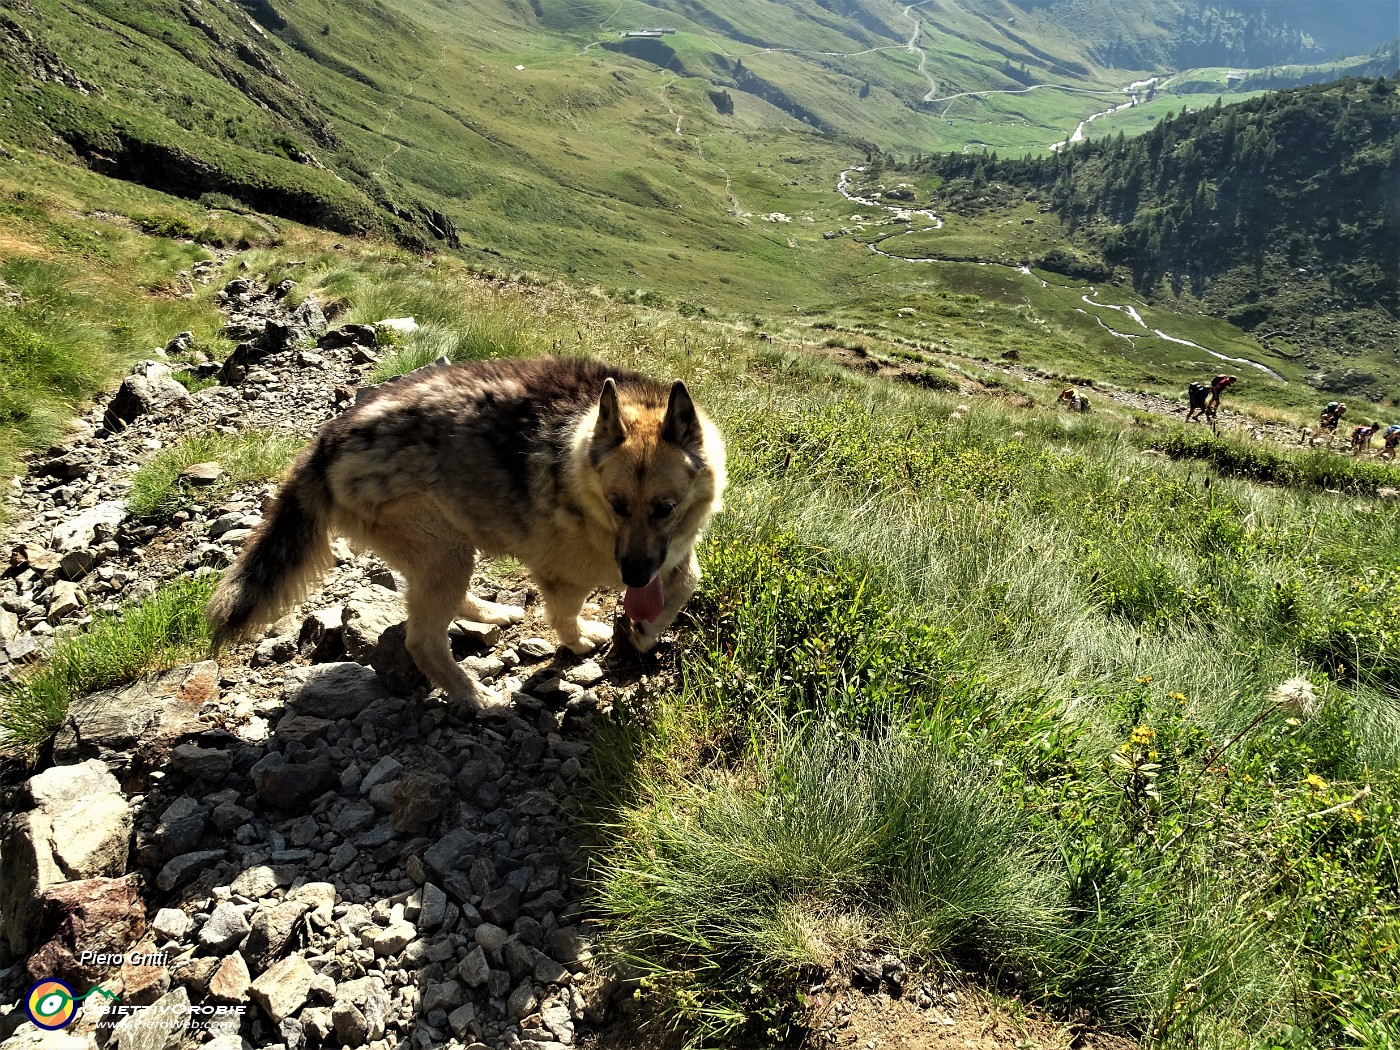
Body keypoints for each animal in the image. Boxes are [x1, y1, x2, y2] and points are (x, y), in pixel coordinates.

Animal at [211, 361, 733, 716]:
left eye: (665, 508)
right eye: (617, 504)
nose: (635, 574)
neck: (580, 451)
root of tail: (326, 443)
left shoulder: (668, 552)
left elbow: (687, 579)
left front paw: (644, 631)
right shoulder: (567, 571)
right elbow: (566, 615)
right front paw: (586, 640)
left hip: (447, 543)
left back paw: (490, 613)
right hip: (446, 548)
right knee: (423, 640)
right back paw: (474, 695)